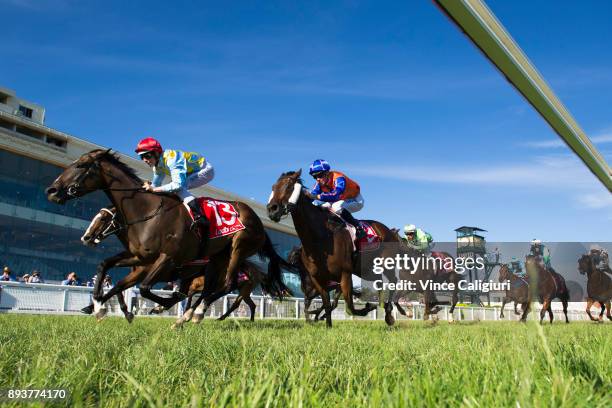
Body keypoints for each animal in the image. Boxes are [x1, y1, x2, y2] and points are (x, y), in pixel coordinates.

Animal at [44, 149, 286, 316]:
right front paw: (97, 305)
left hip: (239, 248)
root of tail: (258, 221)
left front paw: (159, 306)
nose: (52, 190)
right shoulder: (141, 259)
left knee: (226, 287)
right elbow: (109, 272)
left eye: (81, 165)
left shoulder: (166, 259)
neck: (147, 212)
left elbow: (144, 289)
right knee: (212, 290)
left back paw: (197, 313)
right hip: (217, 259)